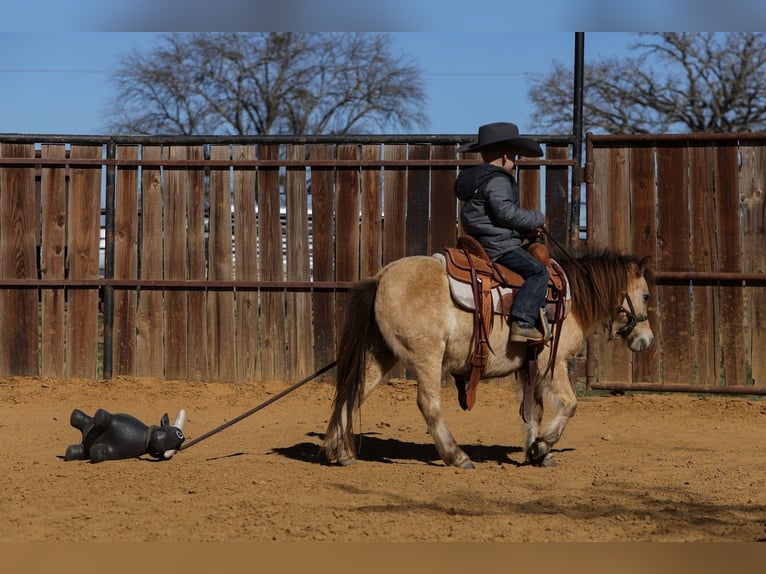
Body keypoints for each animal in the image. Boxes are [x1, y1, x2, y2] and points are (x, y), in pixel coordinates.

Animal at [321, 248, 654, 469]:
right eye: (647, 295)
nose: (646, 340)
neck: (568, 301)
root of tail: (381, 277)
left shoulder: (531, 370)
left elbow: (534, 411)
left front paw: (537, 452)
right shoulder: (554, 365)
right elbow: (570, 405)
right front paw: (542, 446)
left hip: (381, 354)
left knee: (353, 394)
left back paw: (341, 453)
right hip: (427, 357)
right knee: (428, 404)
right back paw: (457, 456)